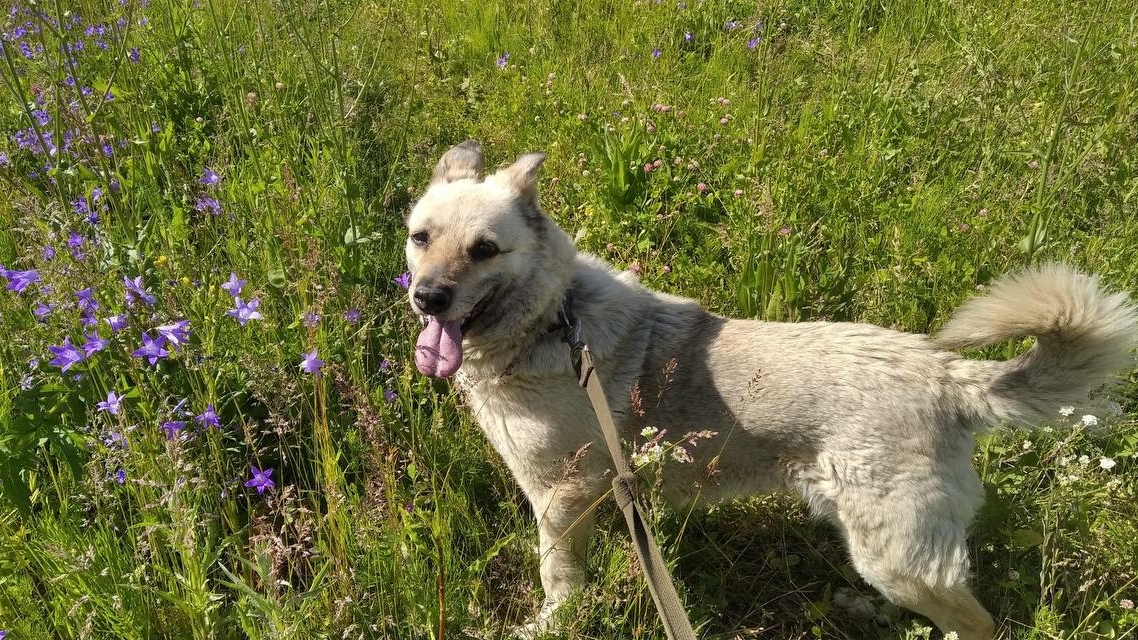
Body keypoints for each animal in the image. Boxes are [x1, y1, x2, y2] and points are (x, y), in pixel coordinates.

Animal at [405, 140, 1133, 637]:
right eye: (421, 238)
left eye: (484, 250)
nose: (428, 298)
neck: (552, 318)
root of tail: (943, 372)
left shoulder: (560, 499)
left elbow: (557, 579)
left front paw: (550, 623)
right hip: (877, 539)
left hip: (897, 555)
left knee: (976, 624)